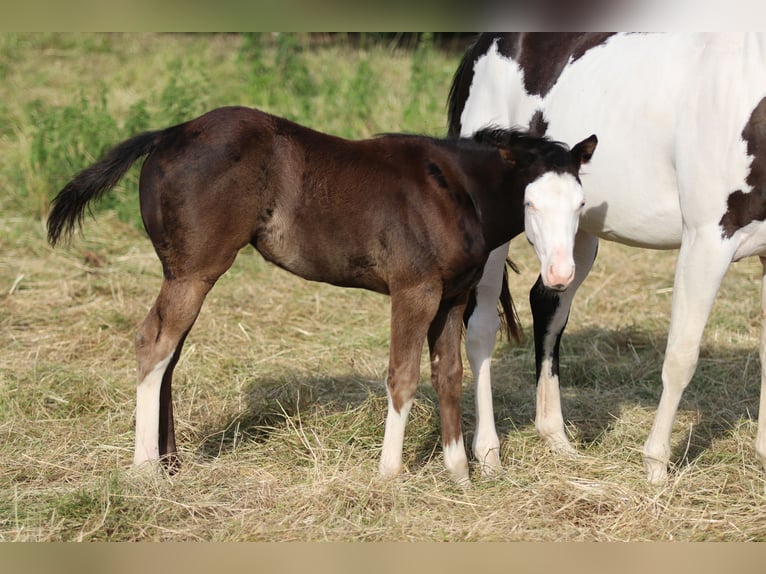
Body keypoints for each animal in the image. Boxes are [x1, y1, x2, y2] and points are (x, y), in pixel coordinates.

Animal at [47, 105, 596, 484]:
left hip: (182, 274)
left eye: (580, 204)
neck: (455, 190)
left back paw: (170, 463)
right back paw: (144, 470)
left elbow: (449, 375)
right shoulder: (414, 291)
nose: (561, 274)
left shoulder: (453, 297)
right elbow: (402, 376)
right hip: (193, 273)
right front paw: (389, 475)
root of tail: (168, 133)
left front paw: (459, 473)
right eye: (529, 203)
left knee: (169, 355)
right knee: (152, 344)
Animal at [448, 32, 766, 483]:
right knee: (480, 328)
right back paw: (488, 454)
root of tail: (487, 43)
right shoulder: (707, 240)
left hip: (572, 236)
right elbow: (681, 355)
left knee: (548, 306)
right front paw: (656, 466)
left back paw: (556, 438)